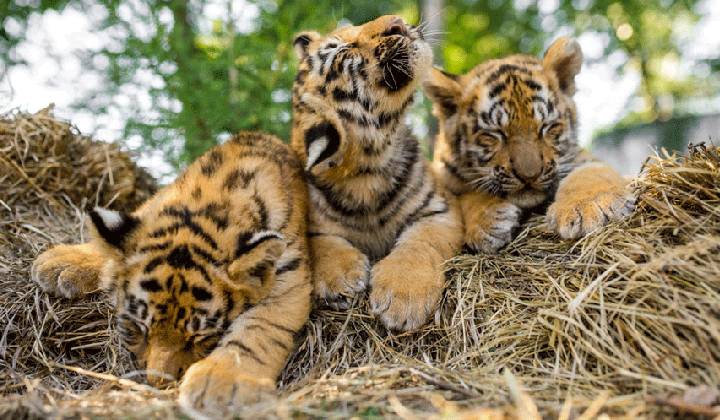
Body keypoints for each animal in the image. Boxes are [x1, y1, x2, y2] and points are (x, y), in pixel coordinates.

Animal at [31, 132, 310, 413]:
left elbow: (257, 329)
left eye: (199, 337)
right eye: (140, 327)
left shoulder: (291, 277)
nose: (158, 383)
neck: (214, 206)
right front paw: (63, 261)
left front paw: (220, 382)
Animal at [290, 15, 463, 332]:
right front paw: (340, 279)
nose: (396, 22)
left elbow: (420, 243)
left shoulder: (437, 210)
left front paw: (403, 297)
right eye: (342, 50)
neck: (366, 172)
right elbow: (320, 244)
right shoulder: (312, 224)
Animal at [424, 37, 634, 252]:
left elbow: (590, 173)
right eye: (495, 134)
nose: (529, 176)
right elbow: (467, 194)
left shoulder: (579, 158)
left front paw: (589, 206)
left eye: (547, 127)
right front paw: (488, 221)